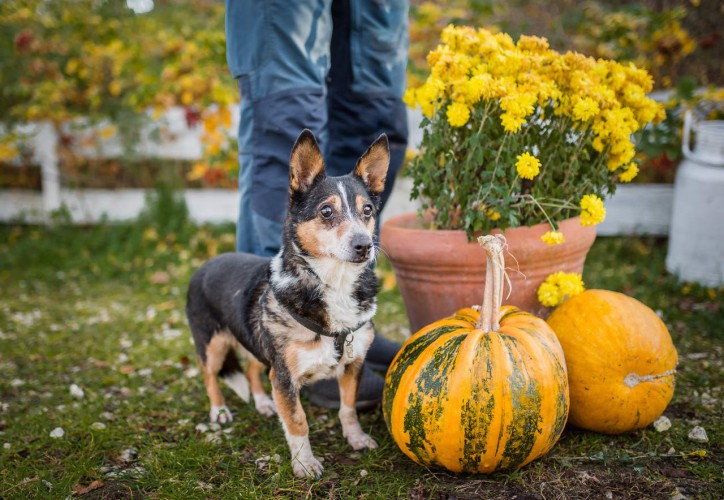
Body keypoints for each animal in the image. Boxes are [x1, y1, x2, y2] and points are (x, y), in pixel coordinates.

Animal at [188, 129, 390, 476]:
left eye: (367, 211)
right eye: (326, 211)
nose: (364, 246)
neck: (333, 284)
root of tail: (205, 264)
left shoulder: (353, 365)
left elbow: (348, 408)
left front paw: (357, 439)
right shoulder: (283, 376)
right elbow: (297, 422)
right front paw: (305, 464)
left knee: (252, 370)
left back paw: (263, 403)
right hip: (211, 344)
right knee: (210, 375)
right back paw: (220, 411)